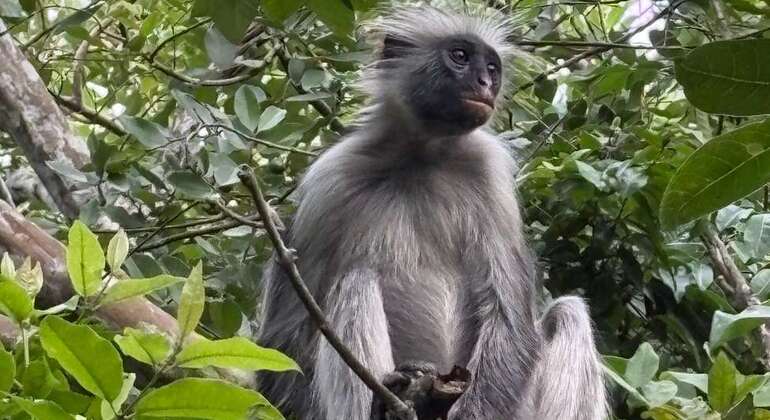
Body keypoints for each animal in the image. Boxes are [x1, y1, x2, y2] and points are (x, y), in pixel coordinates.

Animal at [256, 6, 607, 420]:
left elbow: (509, 320)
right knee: (356, 280)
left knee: (568, 311)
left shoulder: (490, 172)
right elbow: (285, 337)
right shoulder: (329, 181)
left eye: (492, 66)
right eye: (460, 56)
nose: (485, 83)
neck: (422, 157)